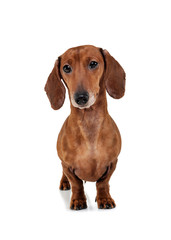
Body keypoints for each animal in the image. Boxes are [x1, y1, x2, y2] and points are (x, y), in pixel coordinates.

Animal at [44, 45, 125, 210]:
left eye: (93, 63)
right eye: (66, 67)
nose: (81, 98)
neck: (89, 124)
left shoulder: (113, 162)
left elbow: (103, 183)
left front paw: (104, 198)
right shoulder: (67, 165)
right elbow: (77, 184)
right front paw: (78, 200)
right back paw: (64, 183)